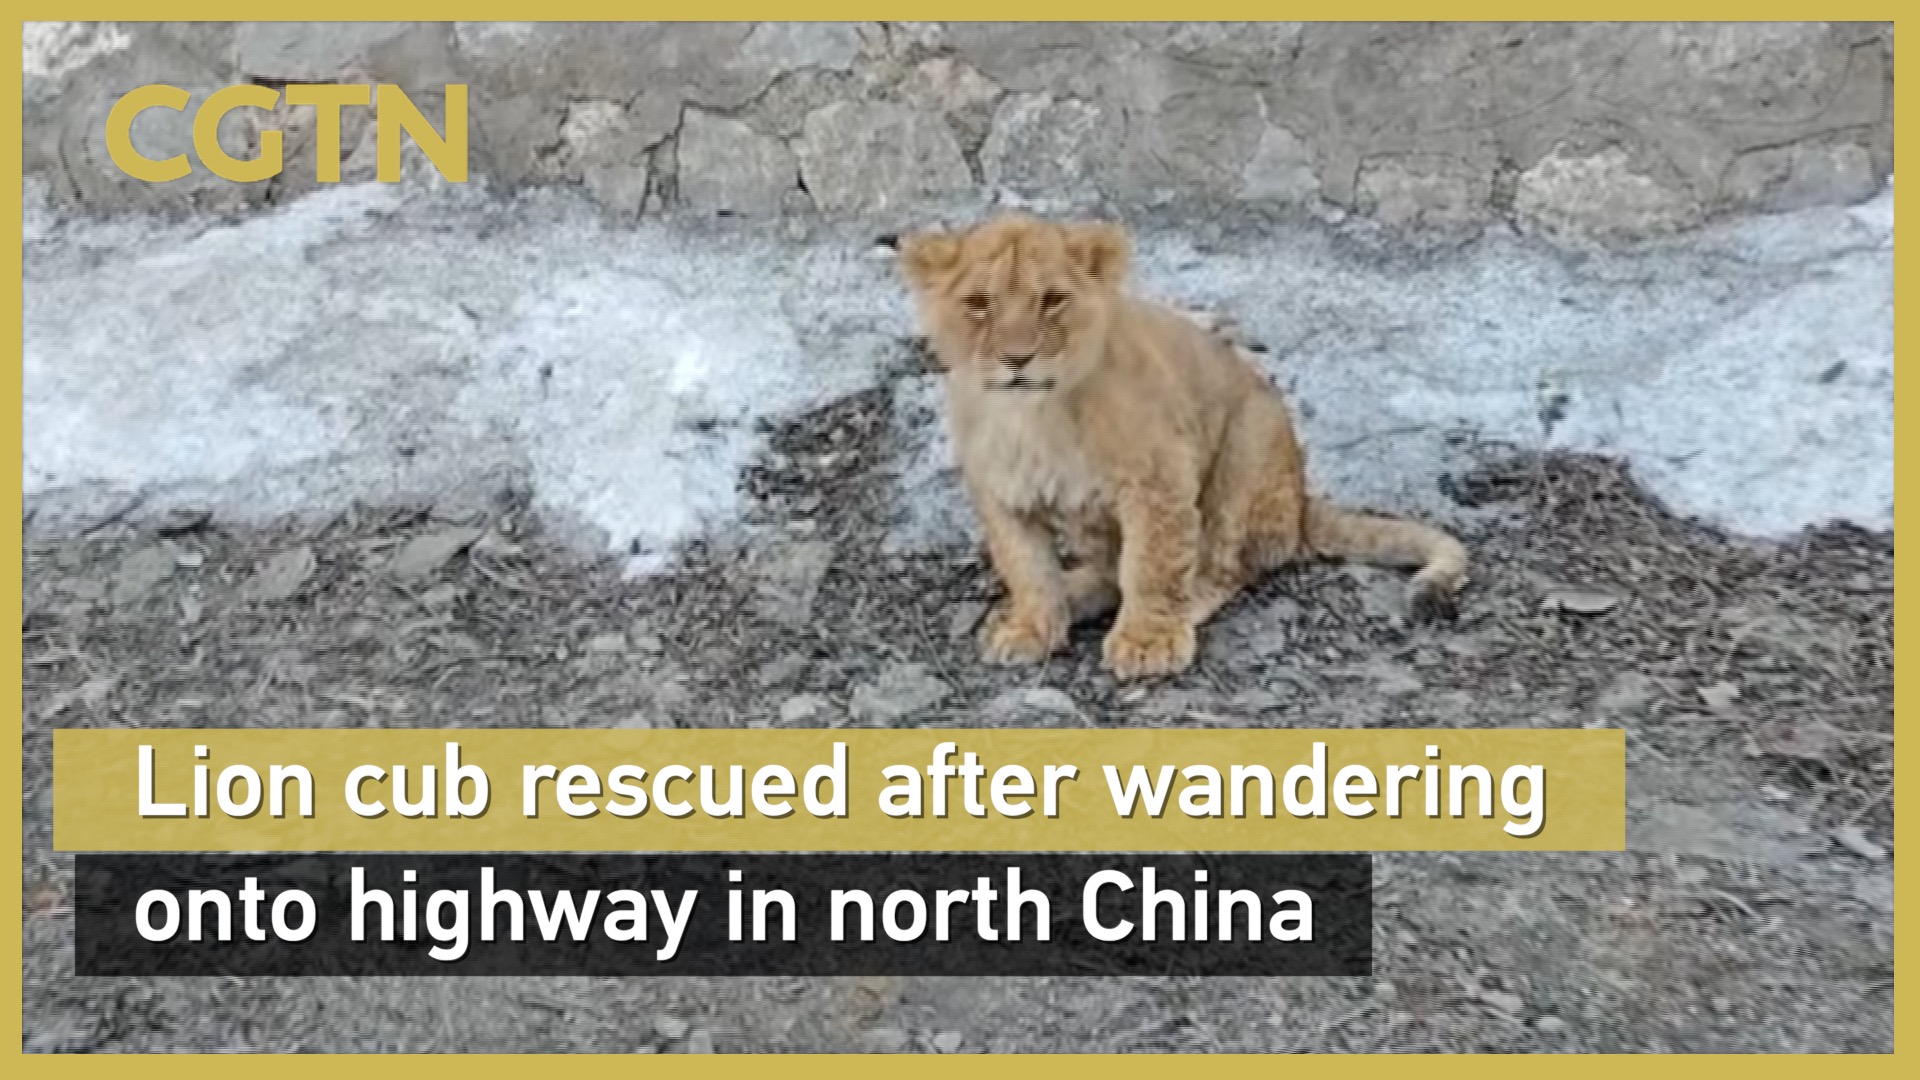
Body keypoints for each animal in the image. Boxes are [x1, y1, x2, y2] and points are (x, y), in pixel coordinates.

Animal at [896, 213, 1469, 680]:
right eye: (978, 305)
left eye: (1053, 300)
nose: (1017, 361)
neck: (1033, 414)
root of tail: (1302, 505)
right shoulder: (1002, 492)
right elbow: (1027, 568)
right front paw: (1030, 628)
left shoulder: (1158, 479)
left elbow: (1151, 563)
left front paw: (1147, 643)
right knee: (1107, 572)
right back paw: (1064, 596)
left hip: (1247, 450)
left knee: (1222, 567)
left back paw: (1178, 608)